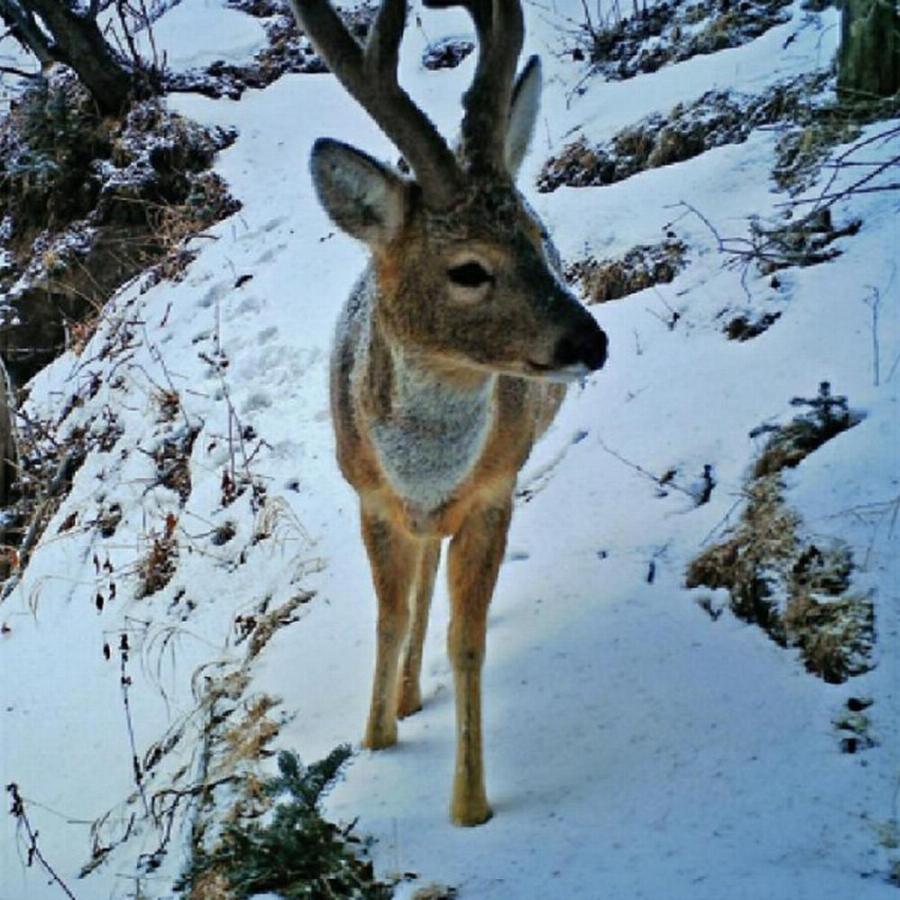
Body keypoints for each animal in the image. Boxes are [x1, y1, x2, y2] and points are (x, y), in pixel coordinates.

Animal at [292, 0, 608, 824]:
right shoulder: (369, 496)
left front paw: (470, 806)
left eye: (535, 236)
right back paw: (403, 694)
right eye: (468, 269)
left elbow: (467, 641)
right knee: (419, 576)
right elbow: (390, 616)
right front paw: (374, 738)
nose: (589, 341)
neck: (423, 469)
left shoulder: (495, 491)